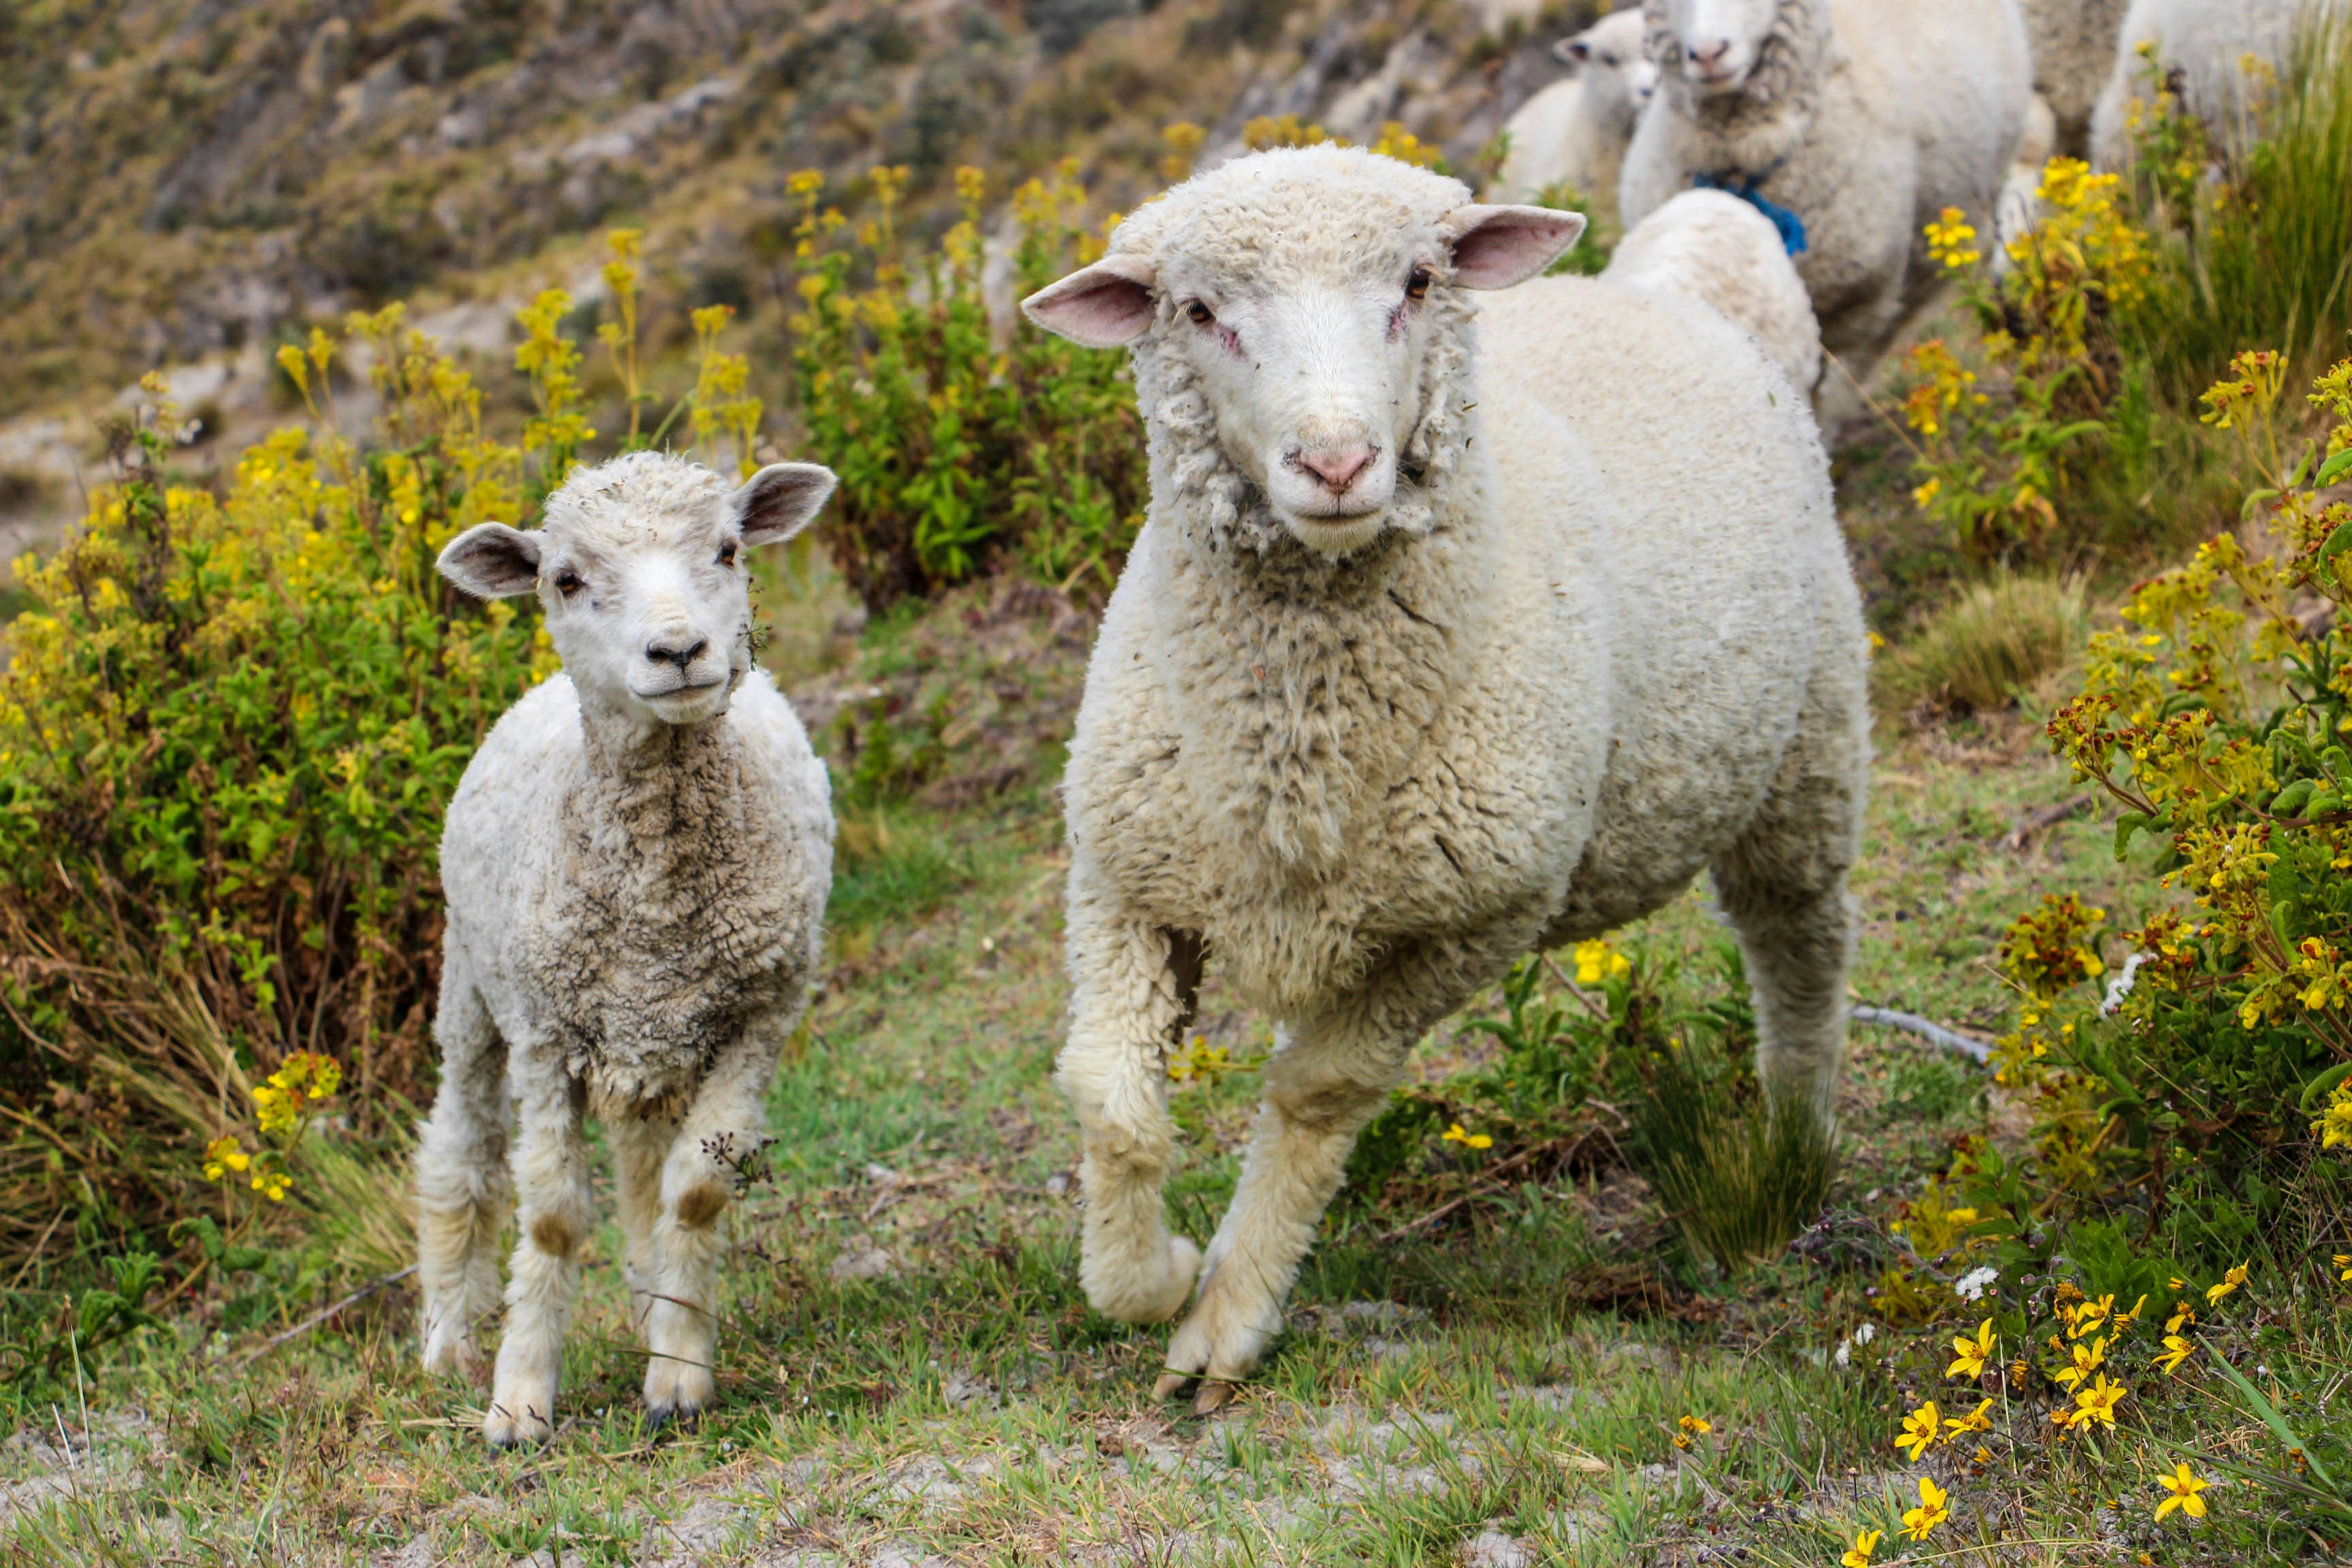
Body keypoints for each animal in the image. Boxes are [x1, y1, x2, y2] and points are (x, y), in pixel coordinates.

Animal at [415, 450, 837, 1447]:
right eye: (565, 580)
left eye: (728, 550)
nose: (678, 653)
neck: (654, 898)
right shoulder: (542, 1036)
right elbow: (553, 1220)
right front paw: (518, 1401)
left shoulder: (758, 1018)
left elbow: (693, 1192)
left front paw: (678, 1374)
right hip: (473, 992)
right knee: (461, 1152)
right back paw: (448, 1336)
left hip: (658, 1036)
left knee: (646, 1169)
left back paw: (652, 1301)